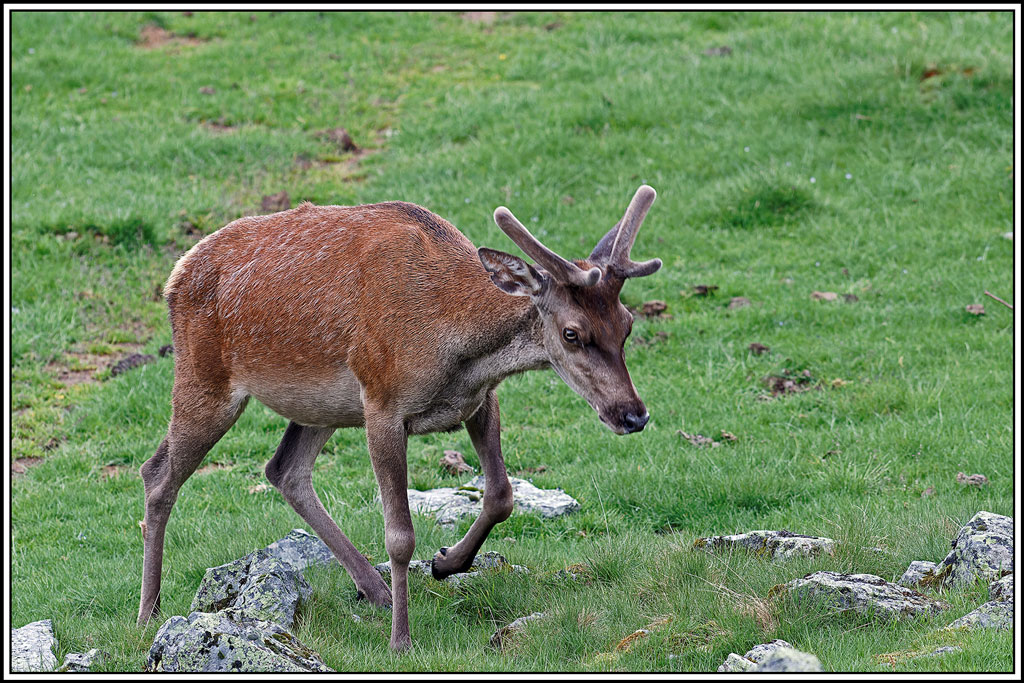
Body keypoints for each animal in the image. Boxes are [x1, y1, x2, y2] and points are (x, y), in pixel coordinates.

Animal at [138, 184, 662, 651]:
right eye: (572, 333)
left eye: (627, 323)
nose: (633, 414)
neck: (455, 345)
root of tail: (176, 275)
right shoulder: (383, 404)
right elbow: (400, 537)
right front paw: (401, 641)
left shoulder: (478, 399)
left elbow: (501, 495)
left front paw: (447, 562)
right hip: (206, 378)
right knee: (157, 473)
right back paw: (149, 612)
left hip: (322, 406)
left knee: (284, 470)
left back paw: (376, 590)